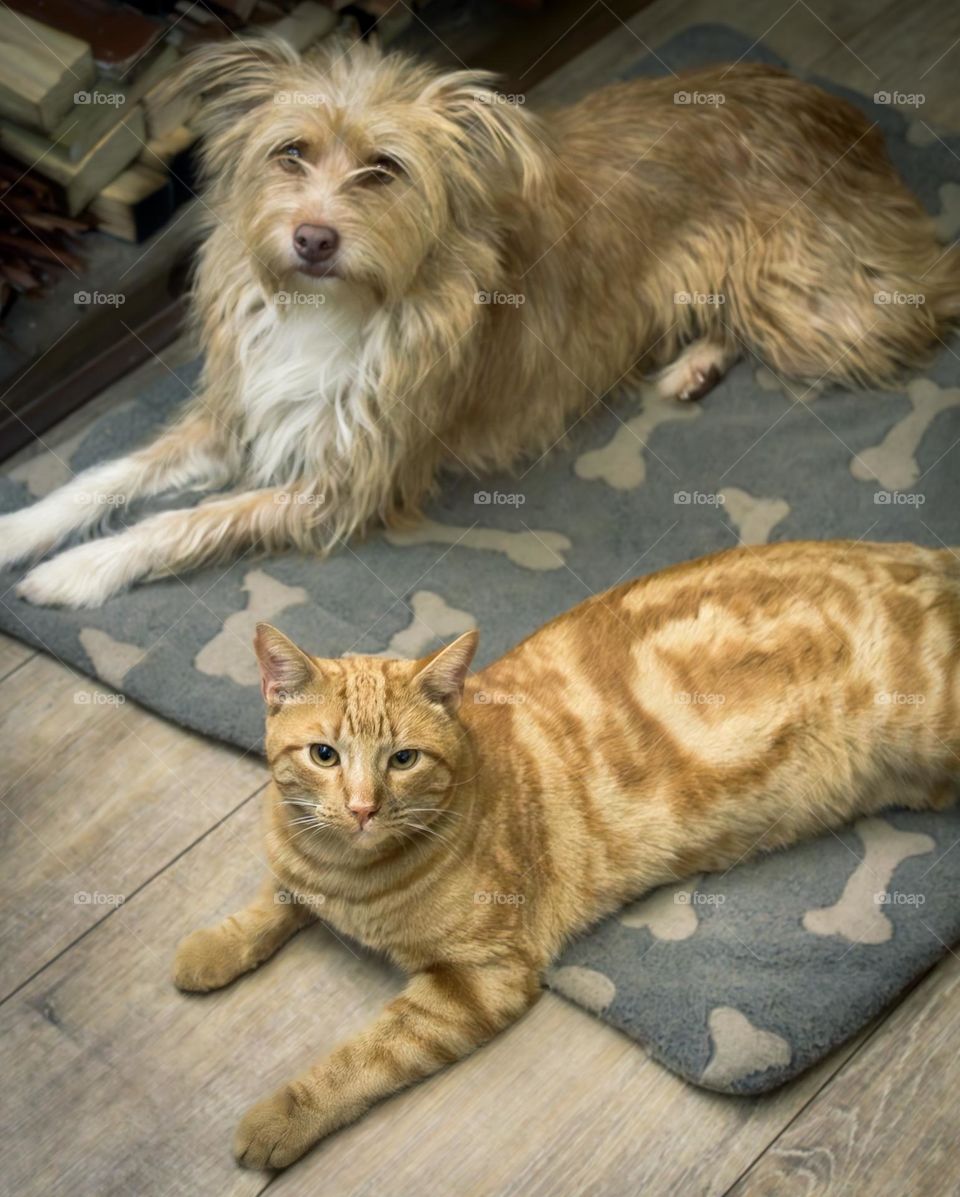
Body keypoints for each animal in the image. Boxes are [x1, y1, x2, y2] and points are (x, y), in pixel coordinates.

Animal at [3, 39, 952, 608]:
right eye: (291, 153)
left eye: (383, 170)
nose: (313, 238)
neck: (340, 305)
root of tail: (834, 105)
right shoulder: (244, 409)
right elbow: (108, 476)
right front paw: (24, 529)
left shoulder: (349, 478)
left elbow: (188, 520)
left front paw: (76, 569)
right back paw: (691, 365)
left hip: (816, 301)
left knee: (927, 299)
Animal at [173, 538, 957, 1163]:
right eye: (324, 754)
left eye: (402, 759)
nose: (364, 807)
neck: (351, 873)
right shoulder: (301, 870)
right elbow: (269, 902)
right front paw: (212, 947)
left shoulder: (479, 979)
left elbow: (360, 1058)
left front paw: (282, 1117)